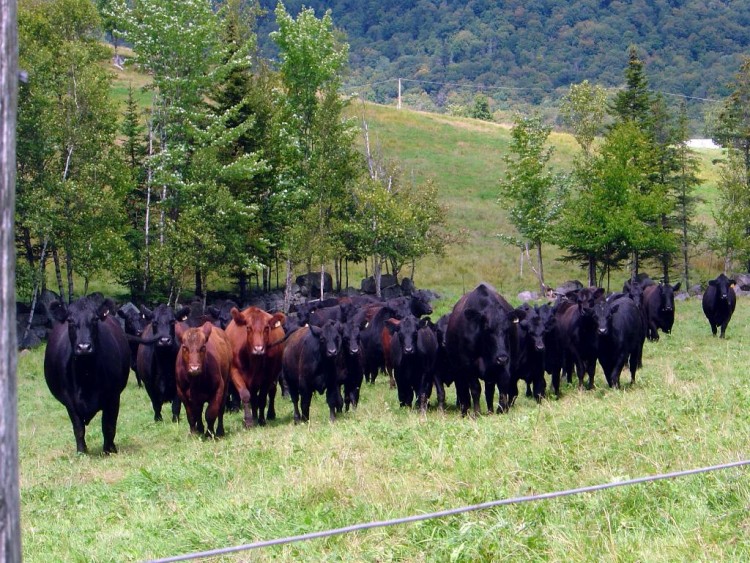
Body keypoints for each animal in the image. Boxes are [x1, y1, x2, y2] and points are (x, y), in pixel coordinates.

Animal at [44, 298, 130, 456]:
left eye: (95, 319)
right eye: (70, 320)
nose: (84, 347)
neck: (86, 374)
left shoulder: (113, 396)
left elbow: (109, 425)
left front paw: (109, 450)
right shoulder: (69, 400)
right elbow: (78, 428)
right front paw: (81, 452)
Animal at [446, 284, 524, 416]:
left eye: (508, 329)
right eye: (488, 329)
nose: (501, 358)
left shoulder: (505, 361)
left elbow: (502, 384)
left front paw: (501, 410)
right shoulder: (468, 364)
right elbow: (475, 388)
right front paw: (477, 412)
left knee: (489, 390)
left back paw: (490, 411)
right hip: (458, 370)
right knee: (463, 390)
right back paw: (465, 411)